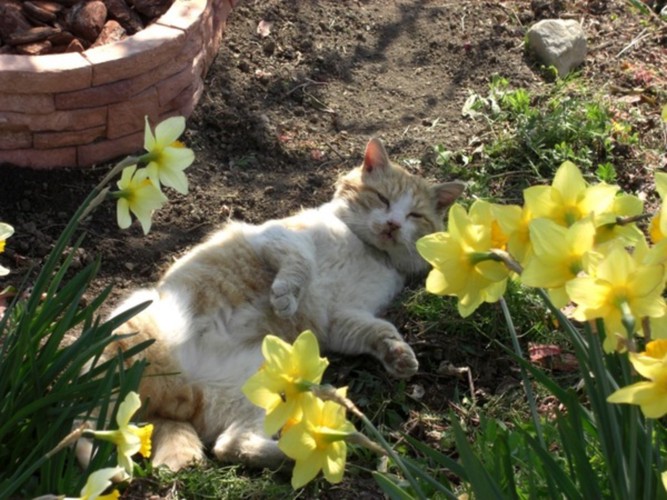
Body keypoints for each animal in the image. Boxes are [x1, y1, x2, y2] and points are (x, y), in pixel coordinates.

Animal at [86, 138, 464, 472]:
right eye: (382, 198)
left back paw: (312, 452)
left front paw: (399, 356)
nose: (393, 224)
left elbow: (380, 330)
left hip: (256, 387)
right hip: (132, 333)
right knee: (87, 428)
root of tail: (173, 399)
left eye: (414, 215)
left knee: (229, 445)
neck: (367, 250)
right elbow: (301, 265)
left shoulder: (344, 318)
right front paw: (285, 298)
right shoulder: (277, 238)